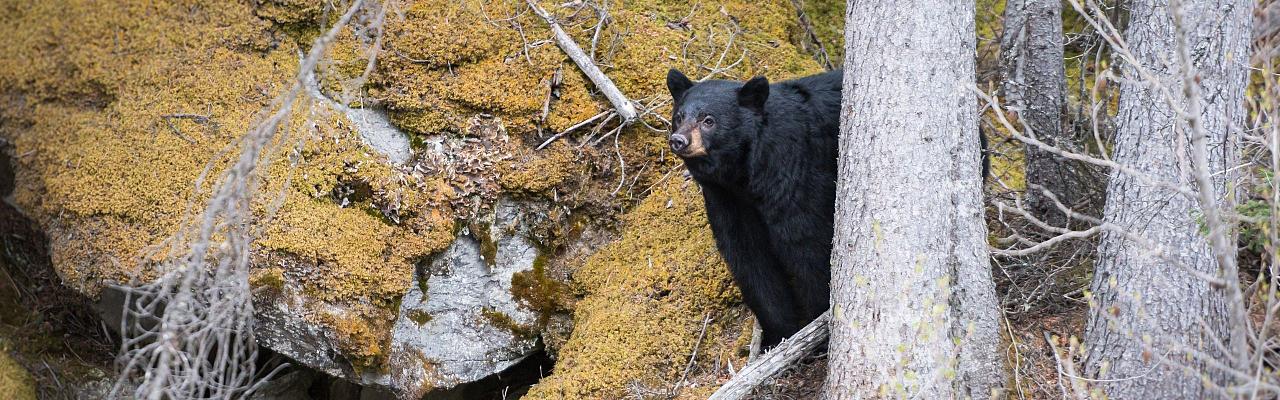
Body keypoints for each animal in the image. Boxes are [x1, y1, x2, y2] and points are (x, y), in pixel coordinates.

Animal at [665, 68, 844, 346]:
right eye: (679, 117)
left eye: (709, 120)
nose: (679, 140)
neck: (743, 175)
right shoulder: (728, 199)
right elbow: (748, 255)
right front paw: (779, 333)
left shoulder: (797, 174)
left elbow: (808, 243)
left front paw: (818, 321)